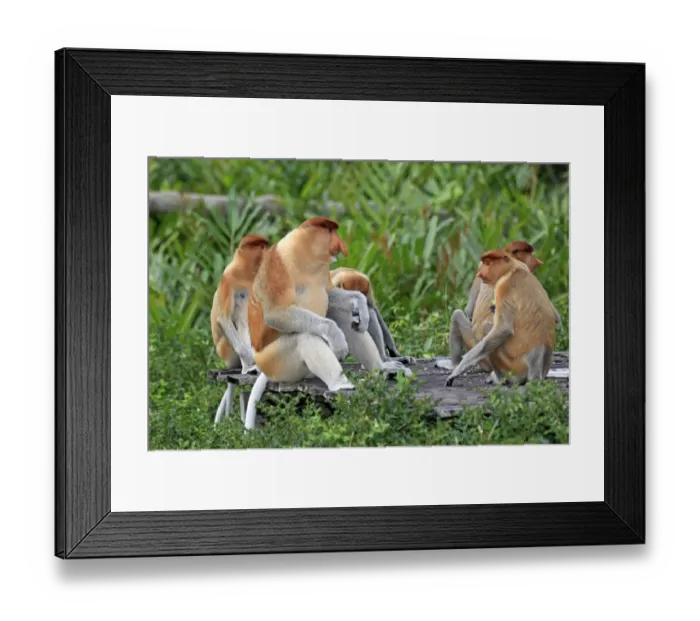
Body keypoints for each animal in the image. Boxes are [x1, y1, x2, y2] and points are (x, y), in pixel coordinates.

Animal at [210, 233, 271, 424]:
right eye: (261, 246)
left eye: (266, 245)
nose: (268, 251)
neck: (245, 273)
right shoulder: (228, 279)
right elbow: (223, 318)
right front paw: (250, 364)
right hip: (225, 349)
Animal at [242, 217, 373, 430]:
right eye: (331, 231)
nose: (341, 245)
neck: (304, 256)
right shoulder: (277, 267)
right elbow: (276, 313)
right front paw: (336, 337)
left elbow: (329, 294)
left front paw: (360, 305)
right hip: (276, 363)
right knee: (304, 337)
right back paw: (340, 384)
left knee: (343, 319)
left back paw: (382, 368)